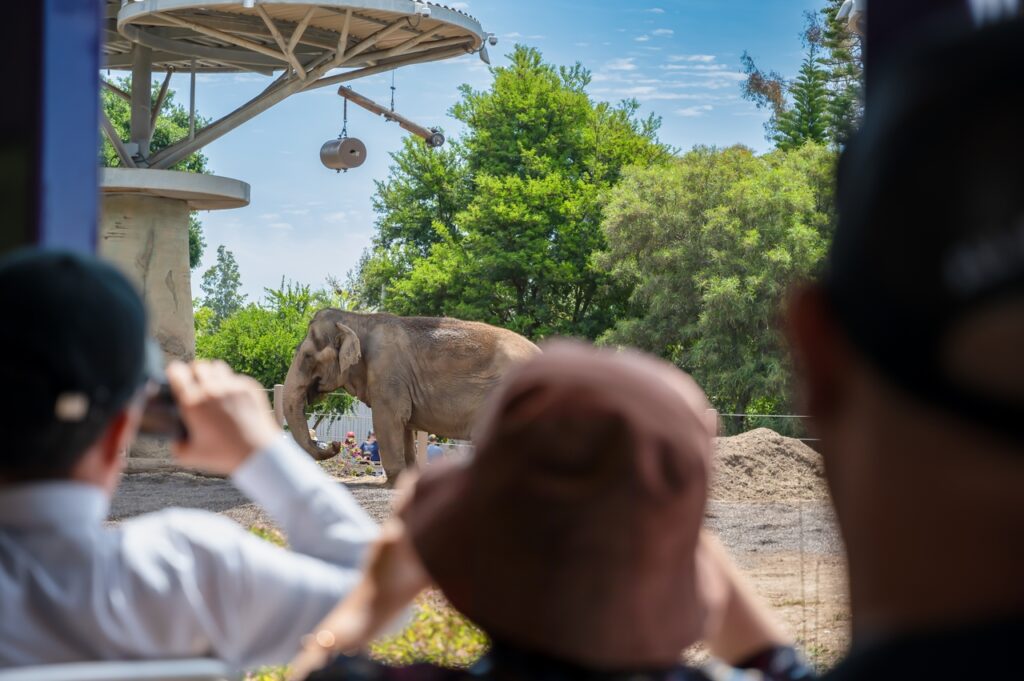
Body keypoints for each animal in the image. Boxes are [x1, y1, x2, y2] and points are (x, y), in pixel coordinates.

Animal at [283, 309, 540, 481]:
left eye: (307, 357)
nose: (334, 444)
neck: (358, 319)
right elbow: (404, 426)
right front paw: (409, 478)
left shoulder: (387, 373)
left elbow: (388, 420)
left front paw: (395, 481)